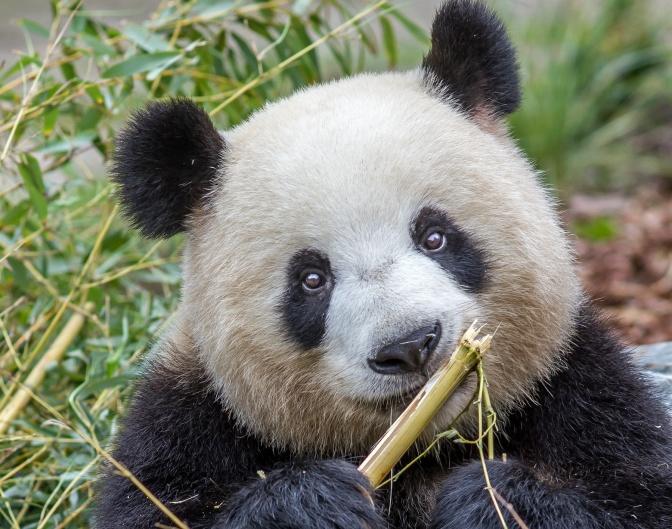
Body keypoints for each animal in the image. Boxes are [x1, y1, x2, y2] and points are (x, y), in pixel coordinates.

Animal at [94, 1, 672, 528]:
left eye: (435, 236)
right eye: (311, 279)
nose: (411, 345)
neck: (427, 451)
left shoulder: (582, 388)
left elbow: (634, 497)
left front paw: (491, 501)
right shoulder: (188, 416)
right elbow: (159, 508)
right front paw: (314, 506)